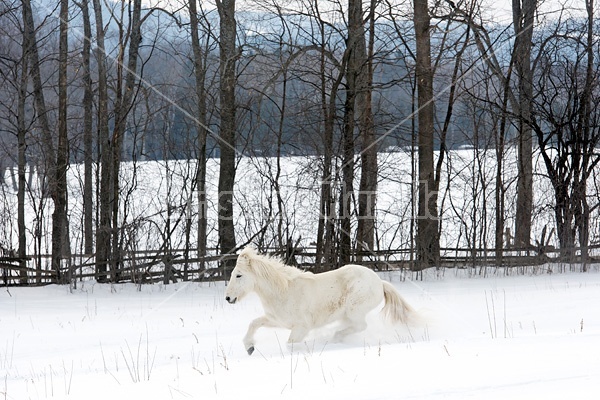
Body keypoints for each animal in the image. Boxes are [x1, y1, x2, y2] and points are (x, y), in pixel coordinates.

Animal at [223, 247, 414, 356]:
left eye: (238, 275)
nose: (228, 298)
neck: (284, 291)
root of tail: (380, 282)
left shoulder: (302, 327)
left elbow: (290, 345)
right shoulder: (277, 320)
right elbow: (254, 323)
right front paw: (249, 348)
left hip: (355, 311)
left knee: (360, 326)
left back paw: (333, 339)